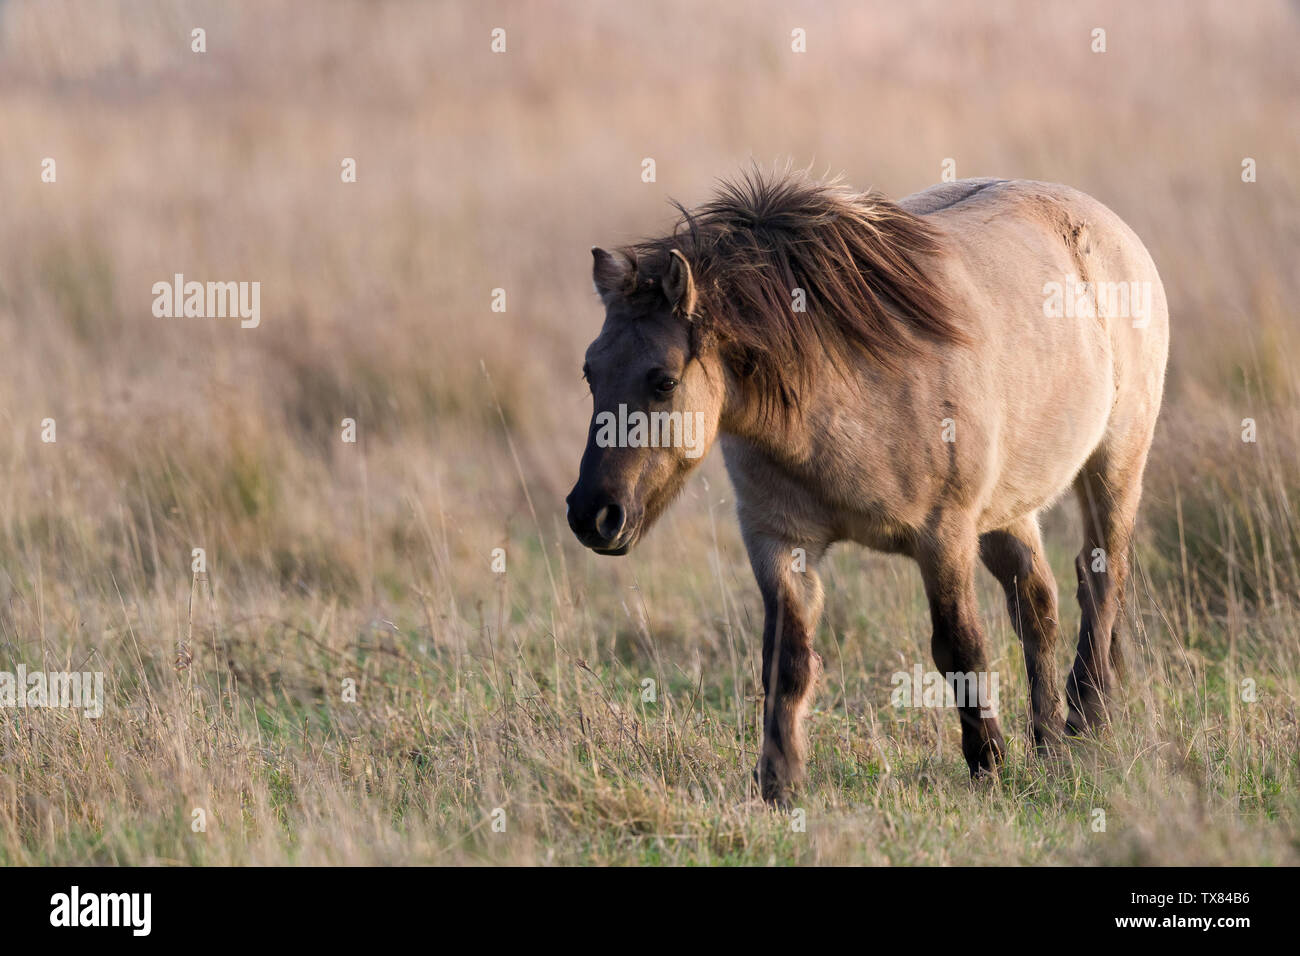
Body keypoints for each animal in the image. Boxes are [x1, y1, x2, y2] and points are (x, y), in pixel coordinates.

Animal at [566, 169, 1169, 804]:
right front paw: (779, 784)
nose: (593, 515)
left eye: (663, 380)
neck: (841, 391)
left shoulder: (943, 537)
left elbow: (959, 646)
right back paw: (1050, 742)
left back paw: (1085, 719)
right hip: (1009, 511)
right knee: (1037, 604)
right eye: (590, 371)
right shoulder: (779, 542)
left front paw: (989, 763)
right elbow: (787, 661)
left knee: (1101, 580)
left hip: (1114, 465)